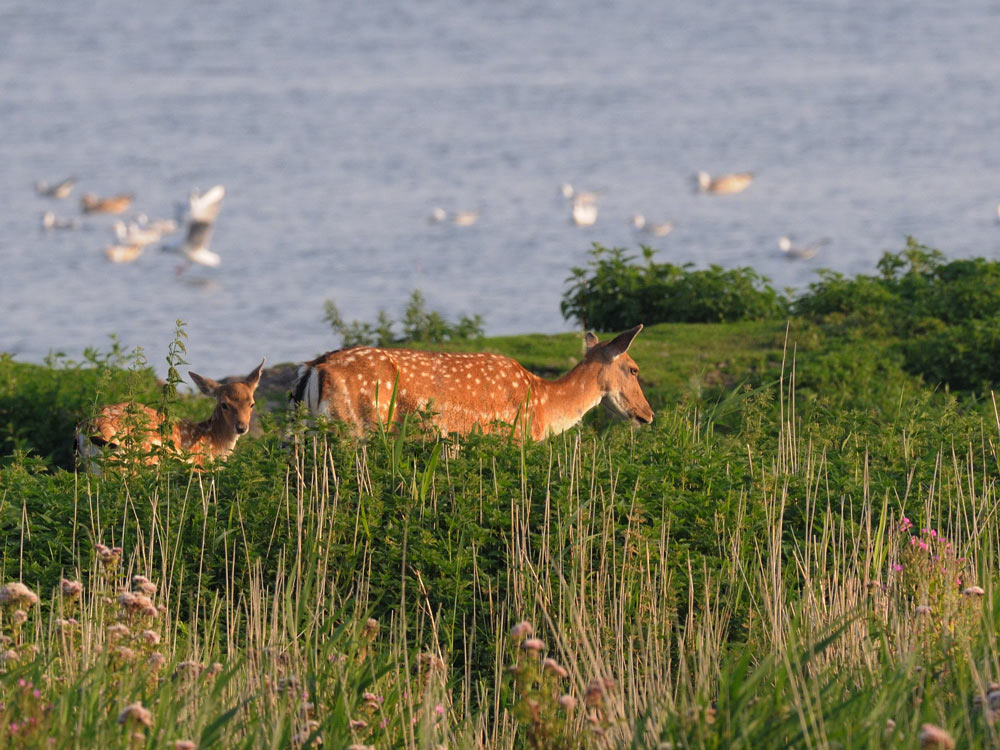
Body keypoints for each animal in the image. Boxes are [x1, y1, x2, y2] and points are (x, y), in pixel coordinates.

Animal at [290, 324, 652, 440]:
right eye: (634, 369)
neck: (544, 405)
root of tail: (314, 368)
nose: (648, 414)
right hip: (353, 427)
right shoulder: (511, 438)